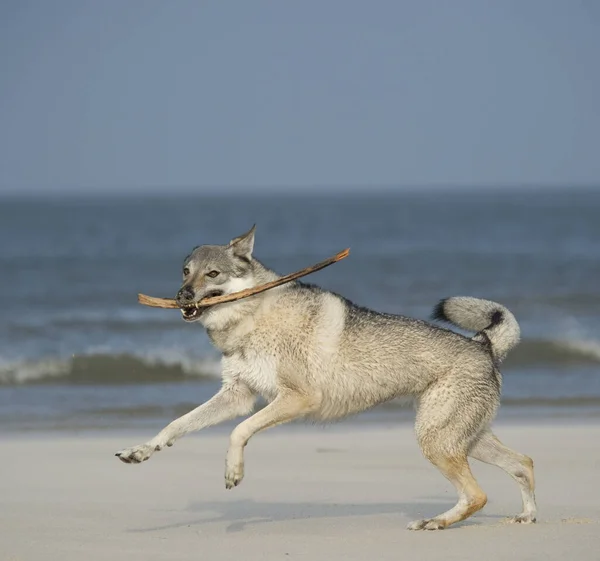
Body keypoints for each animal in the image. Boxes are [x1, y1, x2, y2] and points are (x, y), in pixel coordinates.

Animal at [115, 224, 536, 528]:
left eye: (212, 274)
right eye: (186, 272)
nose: (182, 296)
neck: (252, 317)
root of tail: (483, 345)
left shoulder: (294, 399)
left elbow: (238, 432)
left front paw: (233, 470)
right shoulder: (238, 396)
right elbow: (177, 424)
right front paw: (141, 450)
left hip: (437, 442)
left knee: (478, 495)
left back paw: (436, 522)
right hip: (462, 441)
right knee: (523, 464)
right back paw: (524, 516)